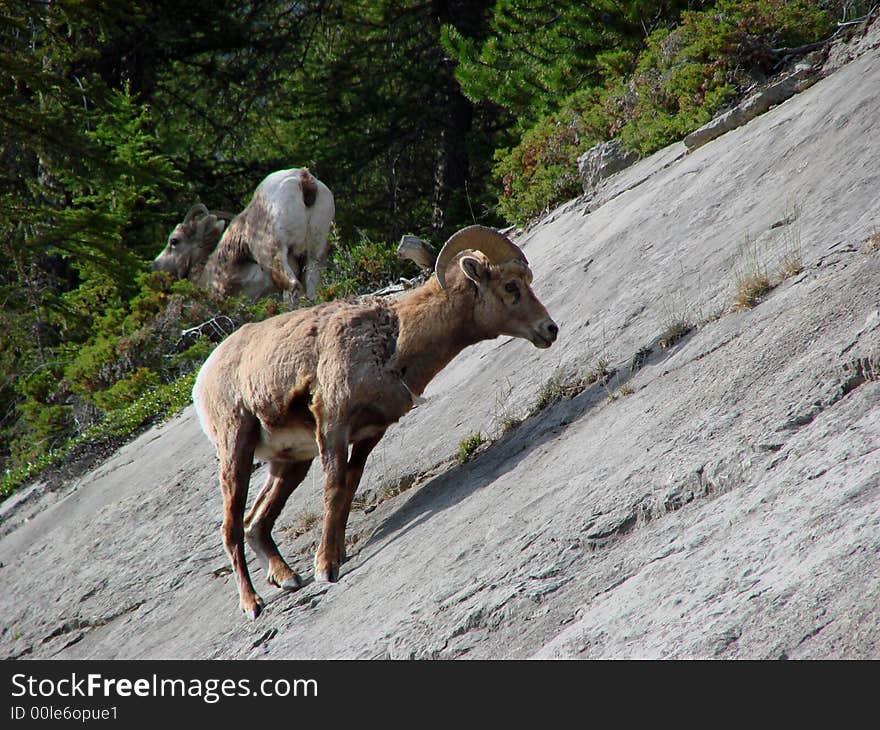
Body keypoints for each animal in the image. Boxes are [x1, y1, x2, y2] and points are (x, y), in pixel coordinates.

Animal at [151, 168, 334, 302]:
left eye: (174, 240)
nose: (154, 266)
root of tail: (303, 178)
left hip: (273, 253)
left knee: (292, 285)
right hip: (314, 256)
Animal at [196, 223, 560, 616]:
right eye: (511, 286)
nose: (549, 329)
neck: (394, 343)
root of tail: (203, 379)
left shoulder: (369, 435)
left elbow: (348, 489)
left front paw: (338, 556)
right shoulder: (333, 426)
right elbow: (333, 490)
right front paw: (326, 568)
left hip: (290, 463)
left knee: (256, 524)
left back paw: (288, 578)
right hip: (237, 448)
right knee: (232, 529)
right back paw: (253, 604)